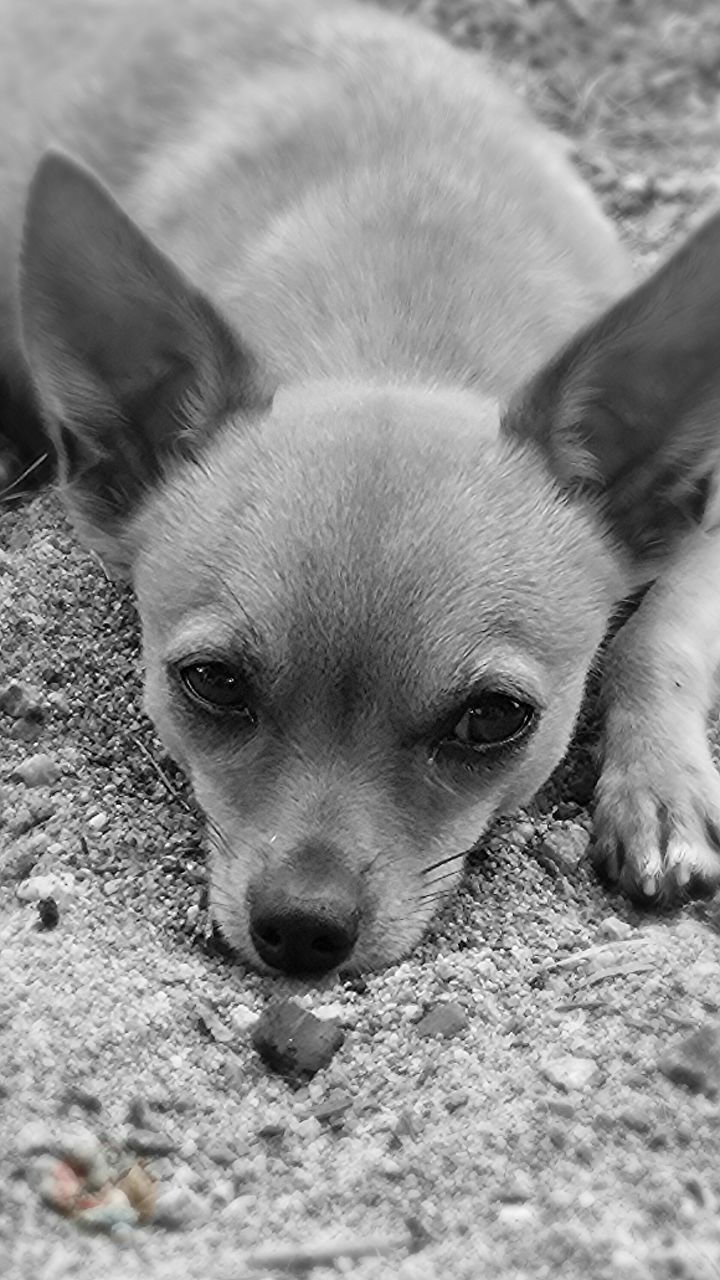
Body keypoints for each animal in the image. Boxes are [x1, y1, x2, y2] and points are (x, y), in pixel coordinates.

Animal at [1, 0, 717, 972]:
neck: (403, 326)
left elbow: (656, 639)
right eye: (211, 682)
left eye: (494, 718)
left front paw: (661, 788)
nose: (304, 928)